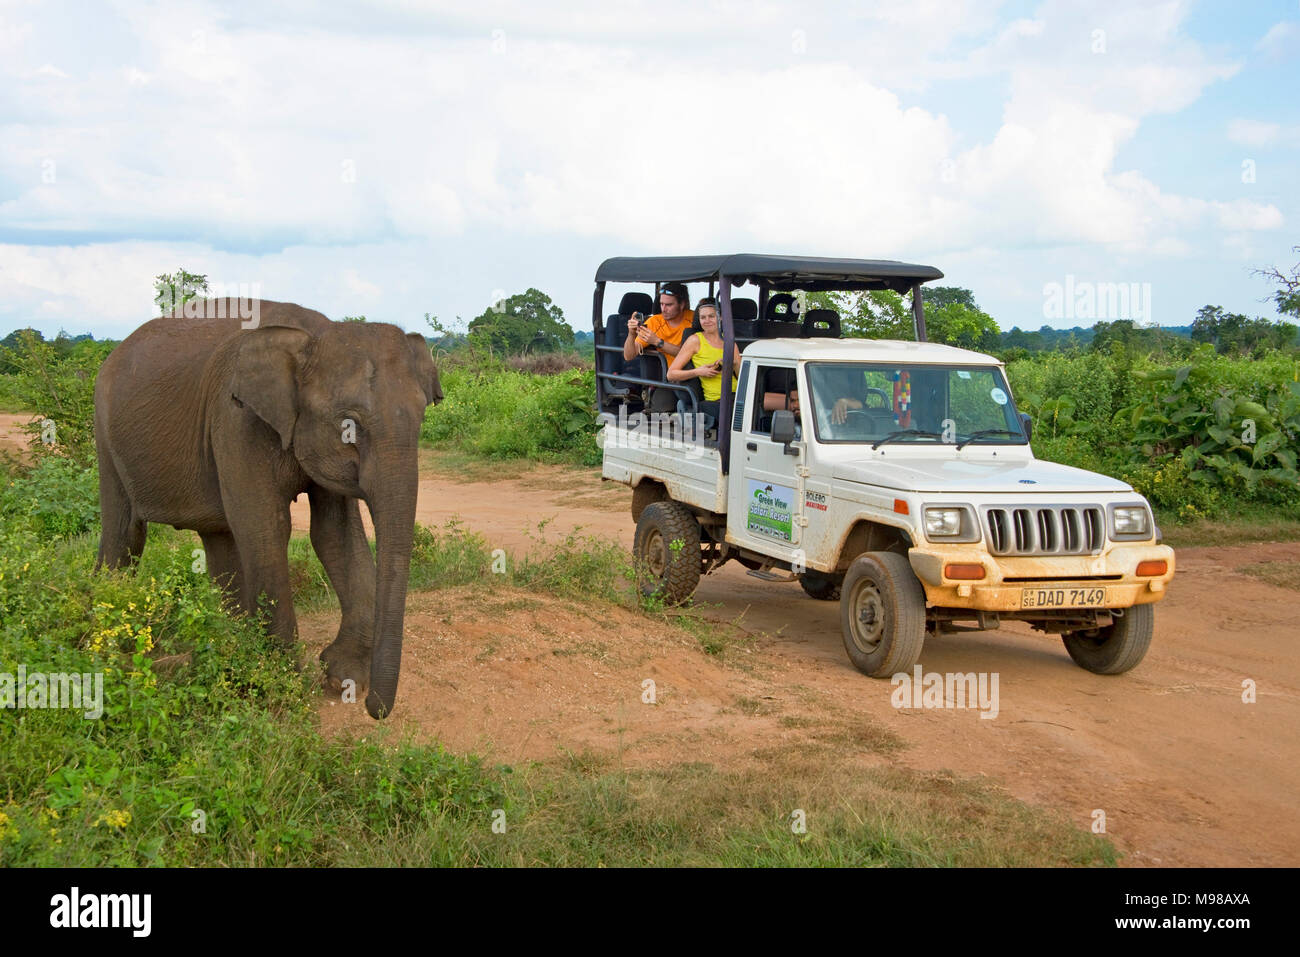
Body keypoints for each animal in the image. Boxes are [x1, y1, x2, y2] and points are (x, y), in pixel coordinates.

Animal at [94, 300, 444, 717]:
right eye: (349, 425)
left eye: (424, 417)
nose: (374, 709)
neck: (312, 334)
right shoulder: (235, 419)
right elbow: (265, 529)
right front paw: (282, 681)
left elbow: (333, 535)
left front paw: (342, 676)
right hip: (105, 434)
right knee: (124, 534)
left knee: (218, 537)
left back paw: (226, 648)